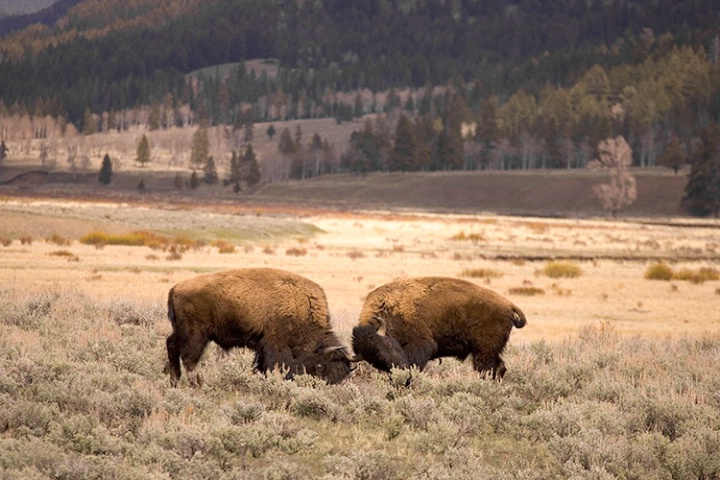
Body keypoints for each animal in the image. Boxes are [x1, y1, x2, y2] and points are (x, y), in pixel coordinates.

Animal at [164, 266, 354, 386]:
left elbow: (259, 366)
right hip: (196, 335)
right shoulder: (276, 346)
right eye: (321, 367)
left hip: (181, 332)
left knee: (171, 345)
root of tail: (175, 288)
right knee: (189, 359)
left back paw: (175, 381)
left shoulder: (262, 348)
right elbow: (275, 366)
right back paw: (197, 385)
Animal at [352, 278, 524, 378]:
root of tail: (508, 305)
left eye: (387, 345)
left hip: (484, 351)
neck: (390, 310)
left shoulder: (421, 345)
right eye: (376, 360)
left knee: (487, 369)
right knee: (499, 368)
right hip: (489, 351)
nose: (398, 366)